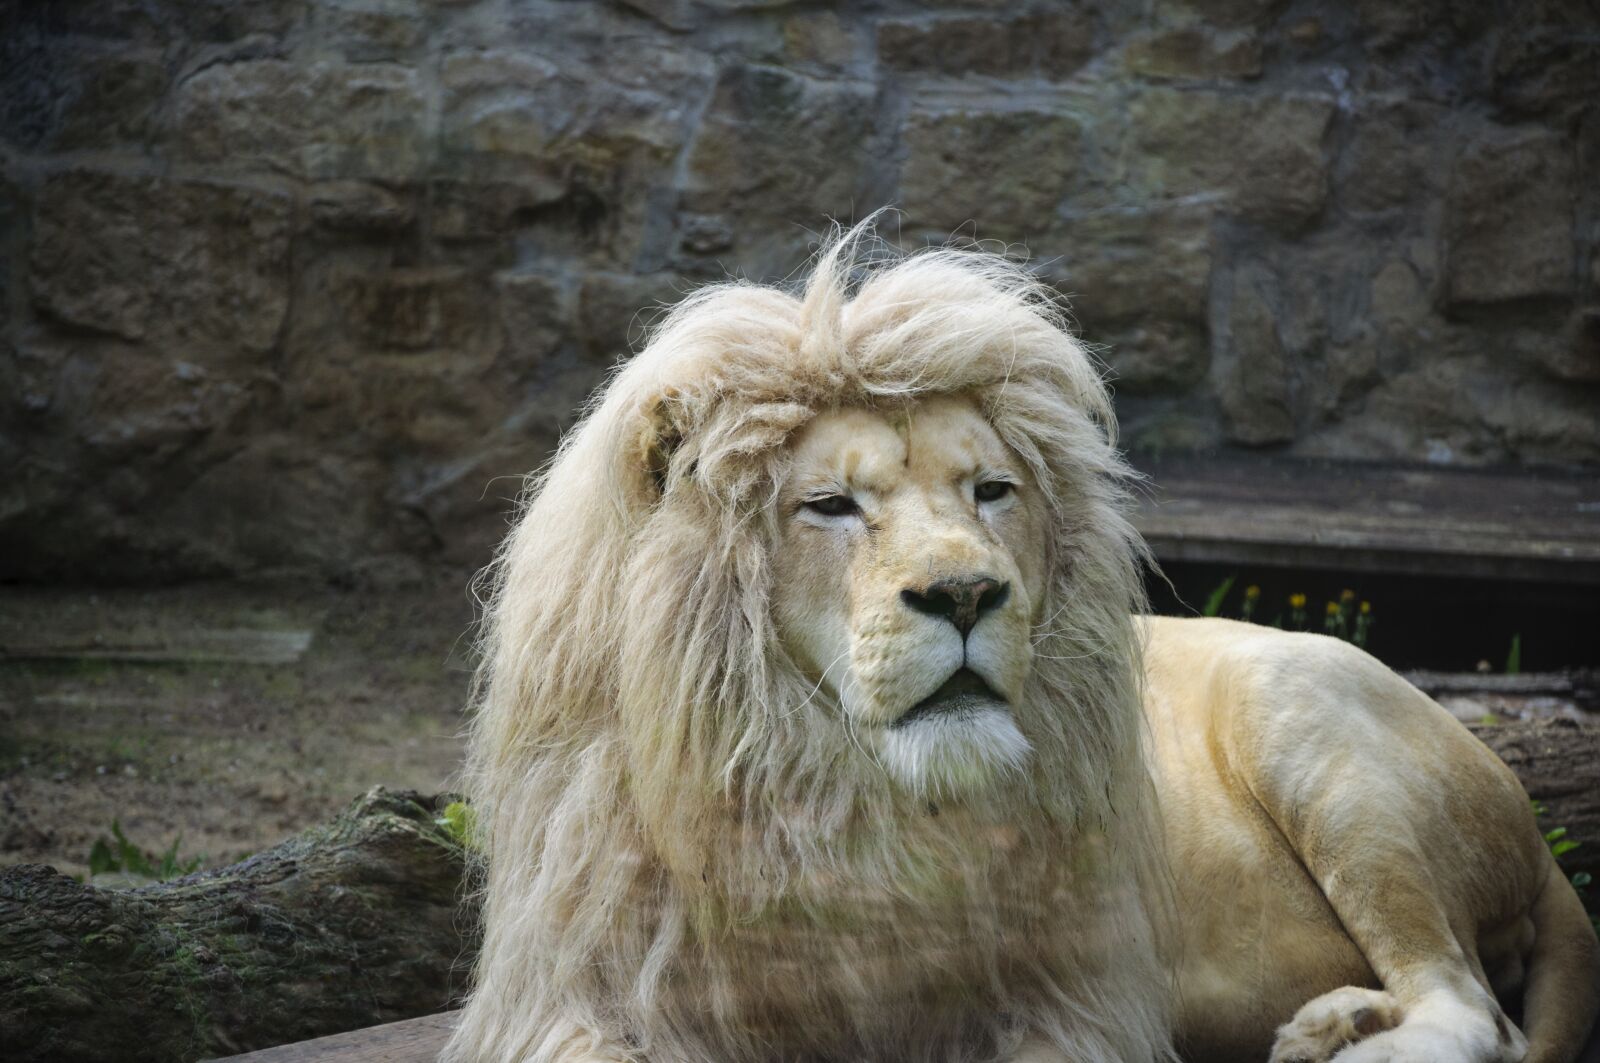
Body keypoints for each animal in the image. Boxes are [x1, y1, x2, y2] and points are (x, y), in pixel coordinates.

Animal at [443, 226, 1599, 1063]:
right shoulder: (574, 995)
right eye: (829, 505)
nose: (964, 593)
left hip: (1308, 719)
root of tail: (1536, 829)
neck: (834, 803)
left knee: (1472, 1006)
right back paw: (1331, 1023)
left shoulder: (1069, 999)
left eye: (990, 490)